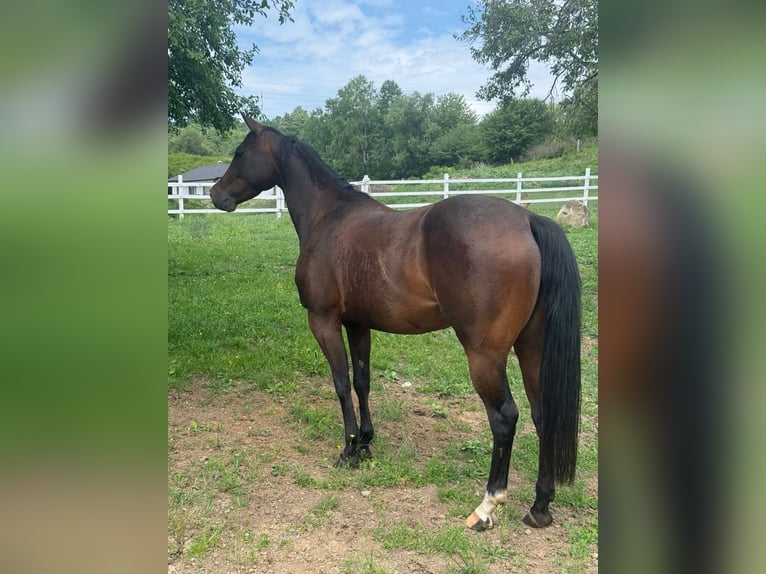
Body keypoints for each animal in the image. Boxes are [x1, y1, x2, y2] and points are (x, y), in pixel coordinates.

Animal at [211, 115, 581, 530]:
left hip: (485, 356)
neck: (328, 216)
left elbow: (341, 384)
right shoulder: (357, 324)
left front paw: (348, 450)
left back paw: (487, 505)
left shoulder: (323, 321)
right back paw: (540, 506)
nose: (215, 194)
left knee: (504, 418)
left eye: (240, 153)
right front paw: (366, 442)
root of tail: (528, 219)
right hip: (532, 346)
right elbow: (362, 381)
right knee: (542, 414)